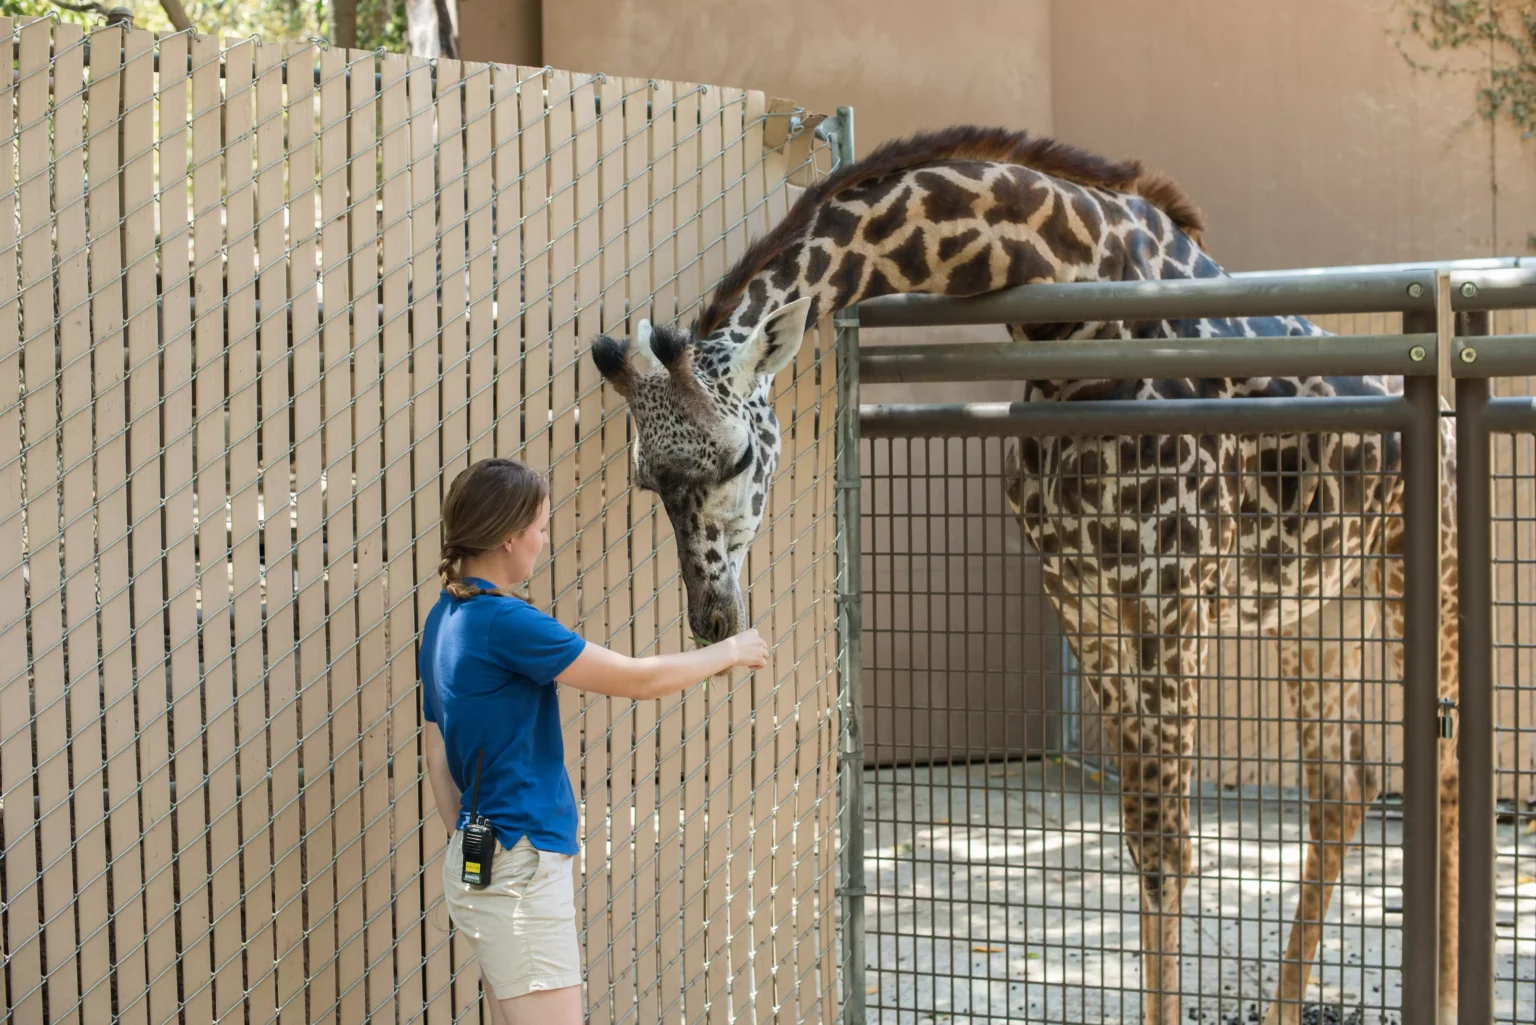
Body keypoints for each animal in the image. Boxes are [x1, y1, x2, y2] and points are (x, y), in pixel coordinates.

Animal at [586, 128, 1462, 1025]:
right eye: (646, 481)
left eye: (736, 457)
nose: (713, 619)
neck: (1074, 316)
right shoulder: (1079, 591)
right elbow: (1142, 828)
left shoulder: (1168, 589)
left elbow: (1171, 843)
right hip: (1319, 606)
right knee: (1343, 787)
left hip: (1422, 566)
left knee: (1446, 770)